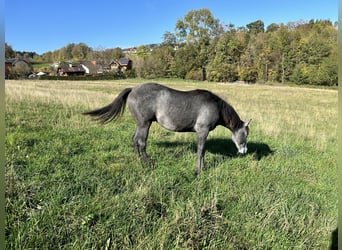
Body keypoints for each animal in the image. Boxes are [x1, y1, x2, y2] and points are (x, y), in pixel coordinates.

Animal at [82, 83, 251, 175]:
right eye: (245, 135)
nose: (244, 151)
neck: (215, 106)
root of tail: (133, 89)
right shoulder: (203, 131)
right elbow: (201, 150)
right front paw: (198, 170)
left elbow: (202, 151)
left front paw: (201, 168)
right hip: (145, 124)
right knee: (142, 142)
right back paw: (148, 163)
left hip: (140, 124)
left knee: (135, 140)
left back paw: (138, 160)